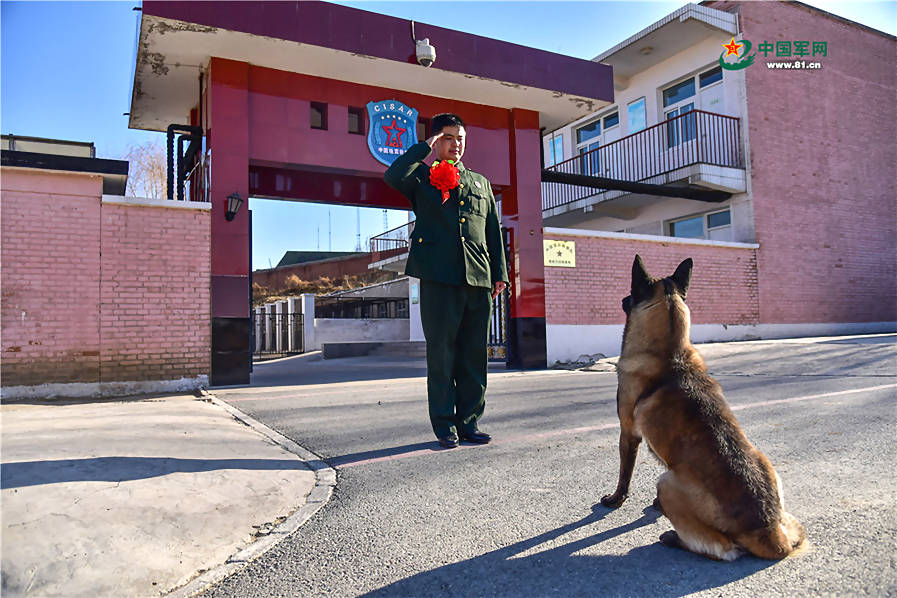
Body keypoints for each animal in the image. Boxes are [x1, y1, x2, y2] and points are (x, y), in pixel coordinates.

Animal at [600, 256, 804, 564]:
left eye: (632, 293)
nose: (622, 299)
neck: (671, 354)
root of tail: (766, 529)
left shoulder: (628, 434)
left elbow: (625, 474)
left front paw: (615, 500)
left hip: (667, 482)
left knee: (723, 550)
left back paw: (673, 538)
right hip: (767, 469)